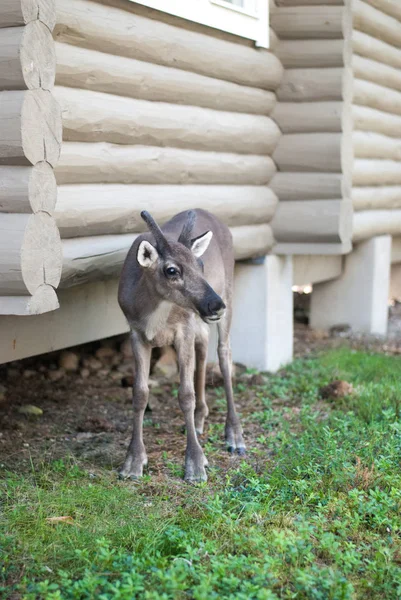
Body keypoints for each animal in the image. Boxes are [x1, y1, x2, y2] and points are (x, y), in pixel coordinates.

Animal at [117, 211, 245, 482]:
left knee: (224, 354)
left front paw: (195, 464)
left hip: (228, 293)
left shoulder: (183, 329)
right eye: (171, 270)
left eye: (201, 265)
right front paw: (133, 462)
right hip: (199, 320)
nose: (215, 305)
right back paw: (199, 419)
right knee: (204, 345)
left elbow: (186, 394)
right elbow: (139, 393)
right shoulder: (136, 333)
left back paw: (234, 436)